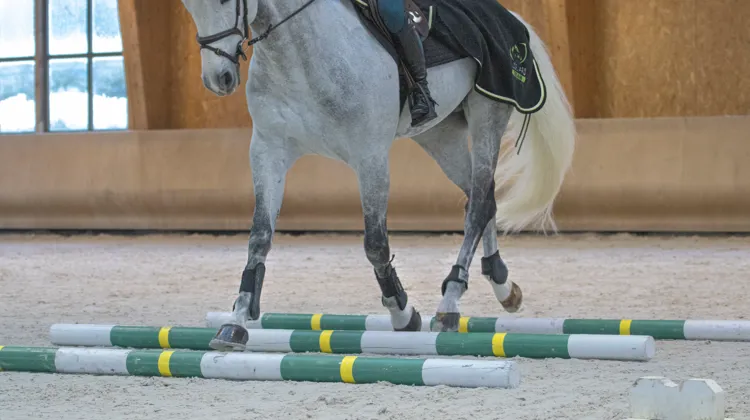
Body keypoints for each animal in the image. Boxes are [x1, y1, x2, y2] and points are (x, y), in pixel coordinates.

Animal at [179, 0, 575, 351]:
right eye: (189, 5)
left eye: (225, 0)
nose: (218, 79)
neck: (297, 54)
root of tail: (508, 16)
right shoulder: (268, 151)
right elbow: (259, 238)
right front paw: (235, 323)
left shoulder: (369, 156)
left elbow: (375, 244)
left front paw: (403, 313)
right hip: (440, 135)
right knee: (486, 198)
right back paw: (502, 284)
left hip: (486, 116)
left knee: (478, 203)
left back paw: (450, 302)